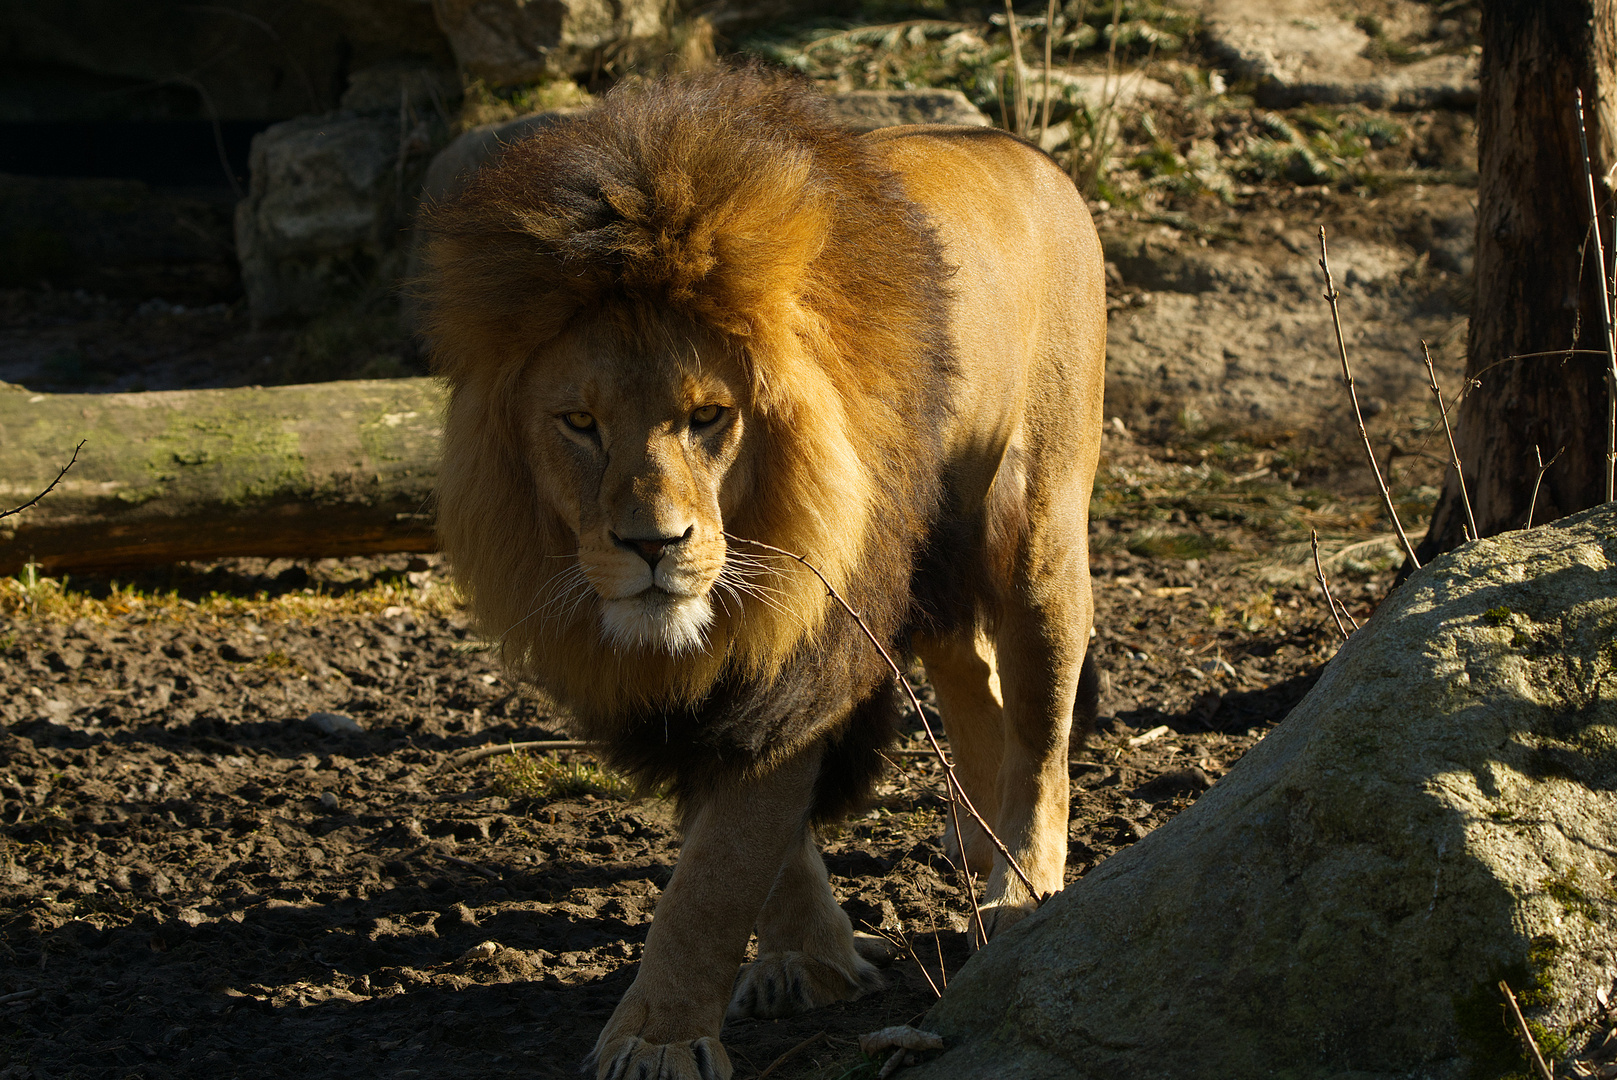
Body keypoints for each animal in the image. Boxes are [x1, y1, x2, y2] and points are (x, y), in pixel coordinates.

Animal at [417, 65, 1106, 1080]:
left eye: (708, 416)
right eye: (579, 423)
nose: (652, 545)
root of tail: (1026, 152)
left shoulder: (807, 644)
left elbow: (719, 868)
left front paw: (655, 1037)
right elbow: (758, 839)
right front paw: (804, 960)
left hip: (1035, 533)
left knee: (1042, 732)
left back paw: (1022, 889)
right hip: (930, 557)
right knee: (970, 677)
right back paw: (976, 847)